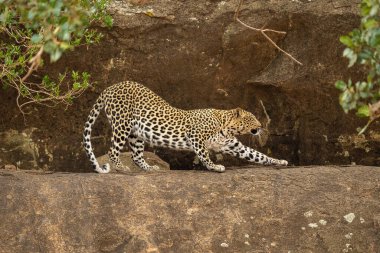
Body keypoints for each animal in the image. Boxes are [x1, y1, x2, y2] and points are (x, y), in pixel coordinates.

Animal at [83, 80, 288, 173]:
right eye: (251, 119)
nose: (260, 126)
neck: (226, 126)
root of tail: (110, 87)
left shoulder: (233, 146)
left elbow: (258, 155)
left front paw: (280, 161)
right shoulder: (196, 136)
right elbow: (204, 154)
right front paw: (214, 166)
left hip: (136, 134)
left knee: (136, 155)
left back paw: (150, 168)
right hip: (122, 124)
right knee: (113, 150)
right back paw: (120, 168)